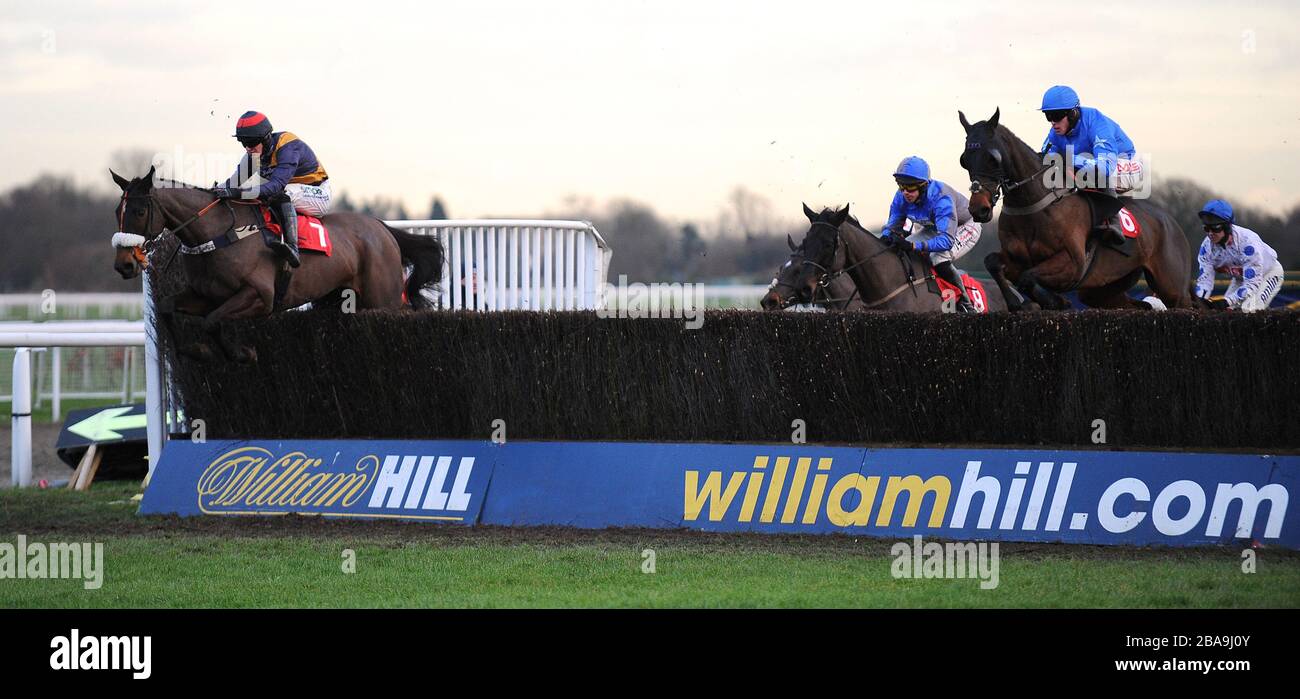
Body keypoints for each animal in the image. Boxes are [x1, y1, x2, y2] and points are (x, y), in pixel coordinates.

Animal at [109, 163, 441, 358]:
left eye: (139, 211)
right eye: (117, 211)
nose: (123, 264)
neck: (219, 233)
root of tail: (382, 228)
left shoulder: (259, 296)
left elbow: (212, 321)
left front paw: (242, 354)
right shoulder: (207, 295)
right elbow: (169, 307)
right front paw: (194, 350)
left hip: (383, 298)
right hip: (339, 298)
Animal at [961, 107, 1190, 309]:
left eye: (993, 158)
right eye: (964, 160)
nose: (978, 209)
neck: (1033, 207)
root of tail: (1171, 222)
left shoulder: (1073, 264)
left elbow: (1027, 278)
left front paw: (1053, 301)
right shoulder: (1017, 260)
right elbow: (993, 263)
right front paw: (1022, 302)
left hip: (1172, 287)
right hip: (1102, 289)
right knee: (1140, 305)